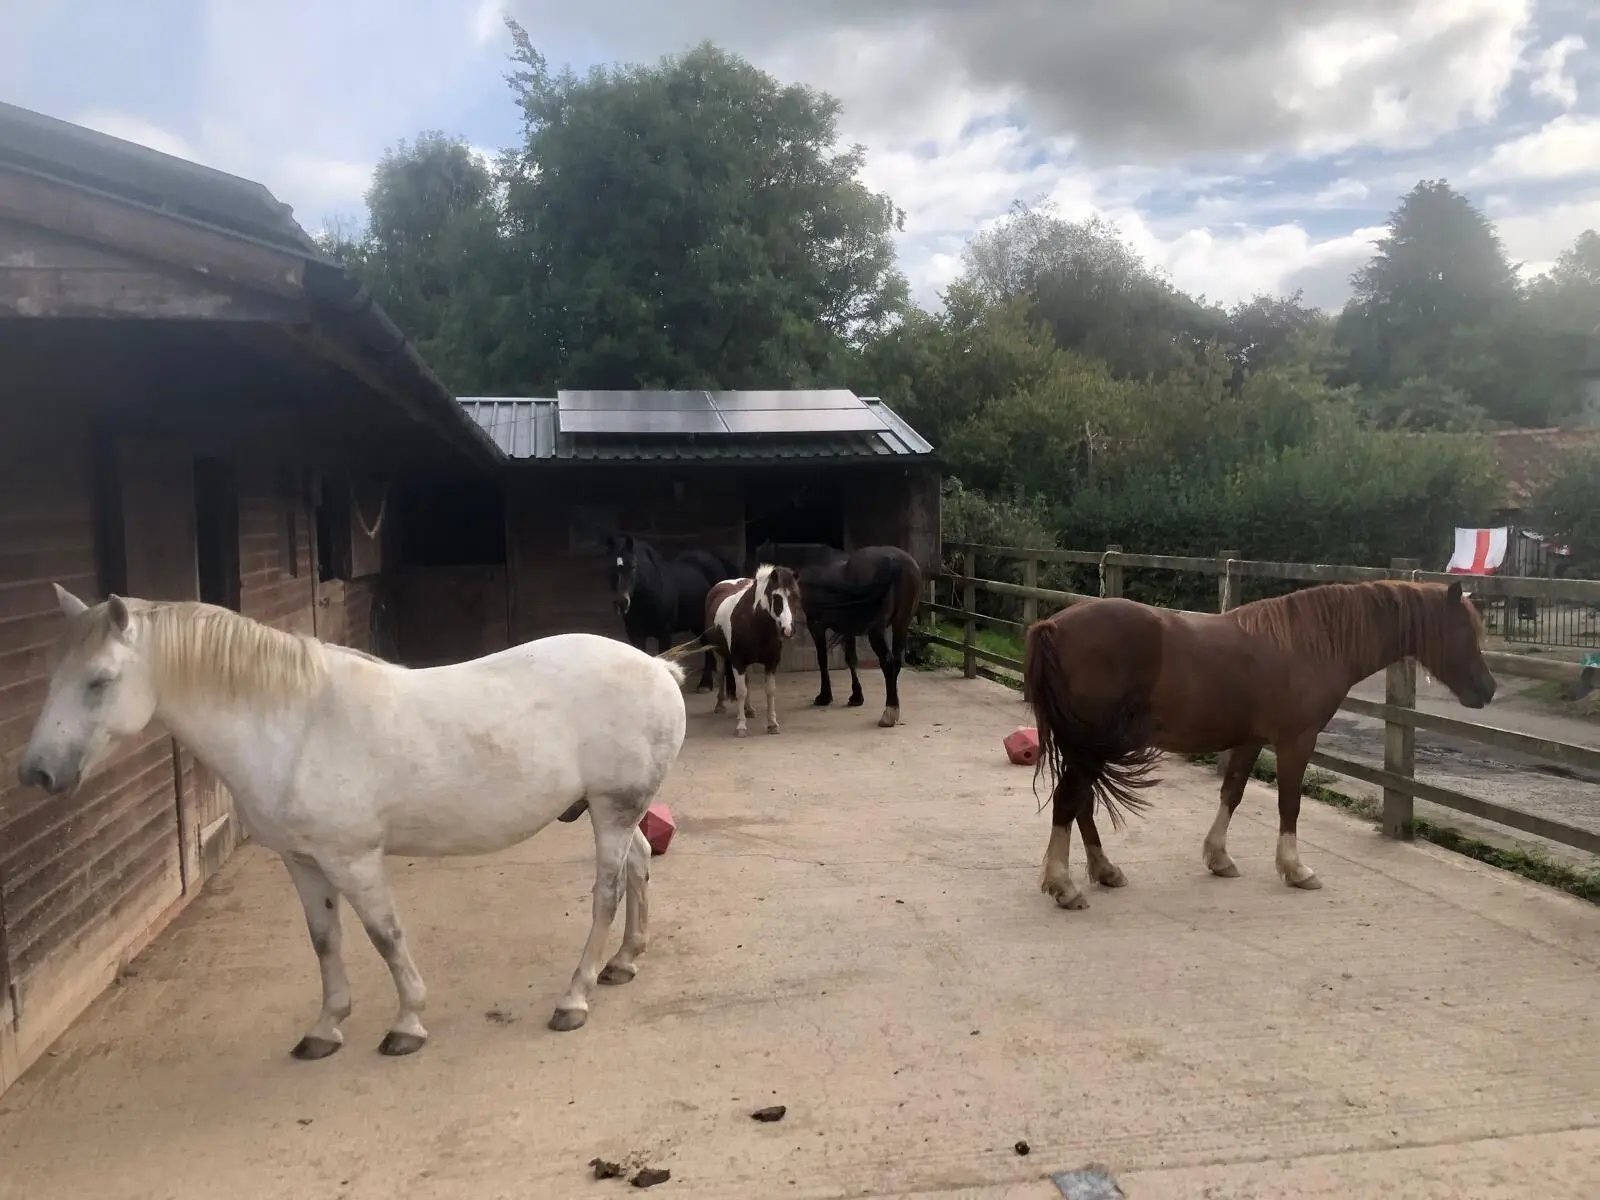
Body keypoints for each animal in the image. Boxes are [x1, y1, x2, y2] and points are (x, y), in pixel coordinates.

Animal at [17, 586, 690, 1057]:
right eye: (52, 676)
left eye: (99, 681)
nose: (37, 773)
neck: (293, 724)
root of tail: (660, 667)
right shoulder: (303, 862)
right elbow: (326, 940)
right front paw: (325, 1028)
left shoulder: (353, 859)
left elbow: (384, 935)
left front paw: (408, 1023)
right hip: (614, 811)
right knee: (638, 867)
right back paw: (623, 962)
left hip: (612, 809)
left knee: (605, 893)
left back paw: (574, 997)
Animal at [606, 535, 736, 694]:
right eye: (610, 567)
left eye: (633, 566)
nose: (621, 603)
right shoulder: (635, 634)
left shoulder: (664, 634)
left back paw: (705, 684)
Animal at [703, 564, 804, 737]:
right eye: (776, 597)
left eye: (796, 597)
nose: (788, 630)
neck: (755, 623)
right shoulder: (737, 662)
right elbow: (741, 691)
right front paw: (741, 727)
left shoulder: (771, 662)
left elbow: (770, 691)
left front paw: (772, 724)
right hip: (719, 653)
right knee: (722, 672)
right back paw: (720, 705)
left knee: (747, 680)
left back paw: (748, 709)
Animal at [754, 541, 923, 728]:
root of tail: (895, 562)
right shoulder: (848, 628)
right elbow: (851, 659)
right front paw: (856, 696)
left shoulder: (816, 625)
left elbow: (822, 659)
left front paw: (824, 696)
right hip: (901, 624)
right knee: (897, 662)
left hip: (877, 631)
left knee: (888, 662)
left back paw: (889, 713)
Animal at [1022, 579, 1495, 909]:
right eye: (1463, 631)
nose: (1487, 691)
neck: (1311, 643)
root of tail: (1054, 626)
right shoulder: (1295, 741)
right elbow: (1290, 804)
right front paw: (1295, 869)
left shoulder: (1250, 741)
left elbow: (1232, 793)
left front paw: (1218, 858)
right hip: (1090, 746)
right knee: (1069, 801)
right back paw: (1064, 885)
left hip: (1088, 746)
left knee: (1081, 803)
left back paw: (1104, 870)